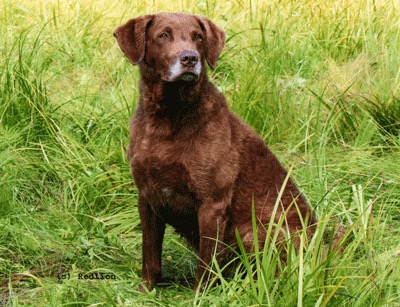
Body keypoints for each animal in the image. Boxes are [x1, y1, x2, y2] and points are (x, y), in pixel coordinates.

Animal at [114, 12, 318, 294]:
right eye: (162, 35)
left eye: (198, 37)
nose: (190, 58)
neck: (168, 121)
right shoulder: (147, 197)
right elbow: (150, 253)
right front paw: (147, 290)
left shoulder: (212, 203)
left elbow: (207, 262)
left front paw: (199, 295)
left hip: (255, 231)